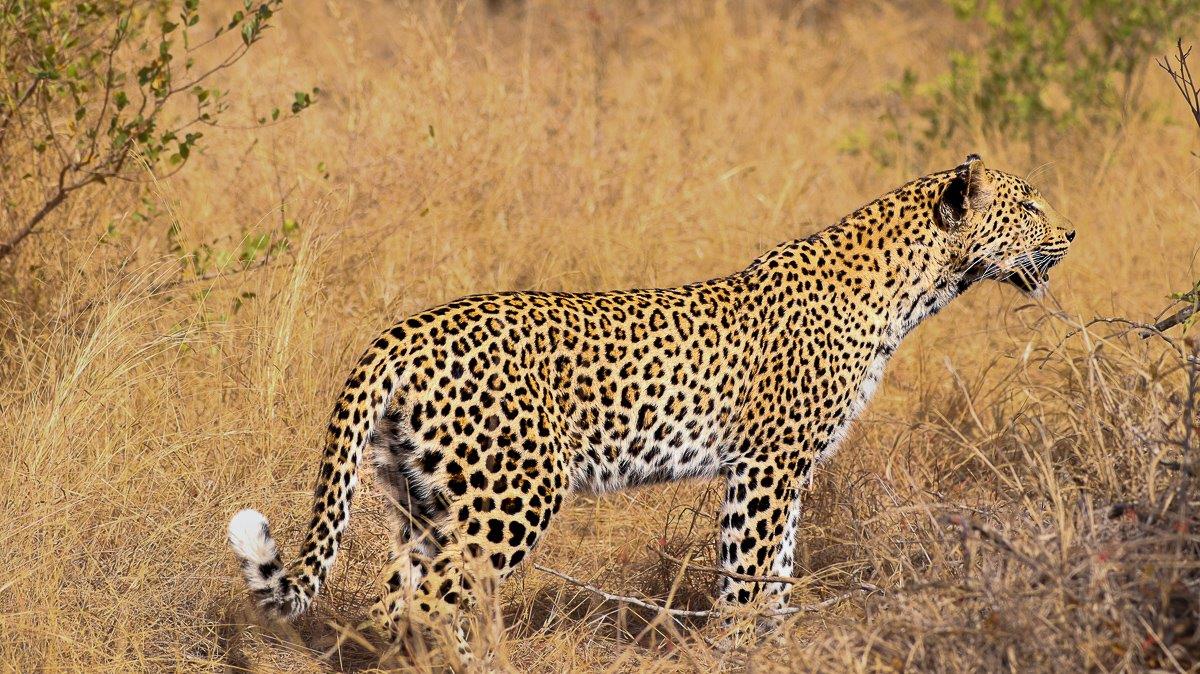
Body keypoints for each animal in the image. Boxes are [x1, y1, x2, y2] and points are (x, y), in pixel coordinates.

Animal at [228, 154, 1074, 661]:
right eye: (1029, 205)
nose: (1070, 231)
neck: (914, 289)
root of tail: (397, 333)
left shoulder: (790, 470)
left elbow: (779, 572)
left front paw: (773, 648)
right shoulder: (766, 465)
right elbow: (747, 575)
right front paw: (737, 653)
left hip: (423, 497)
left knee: (397, 596)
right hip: (513, 492)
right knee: (434, 601)